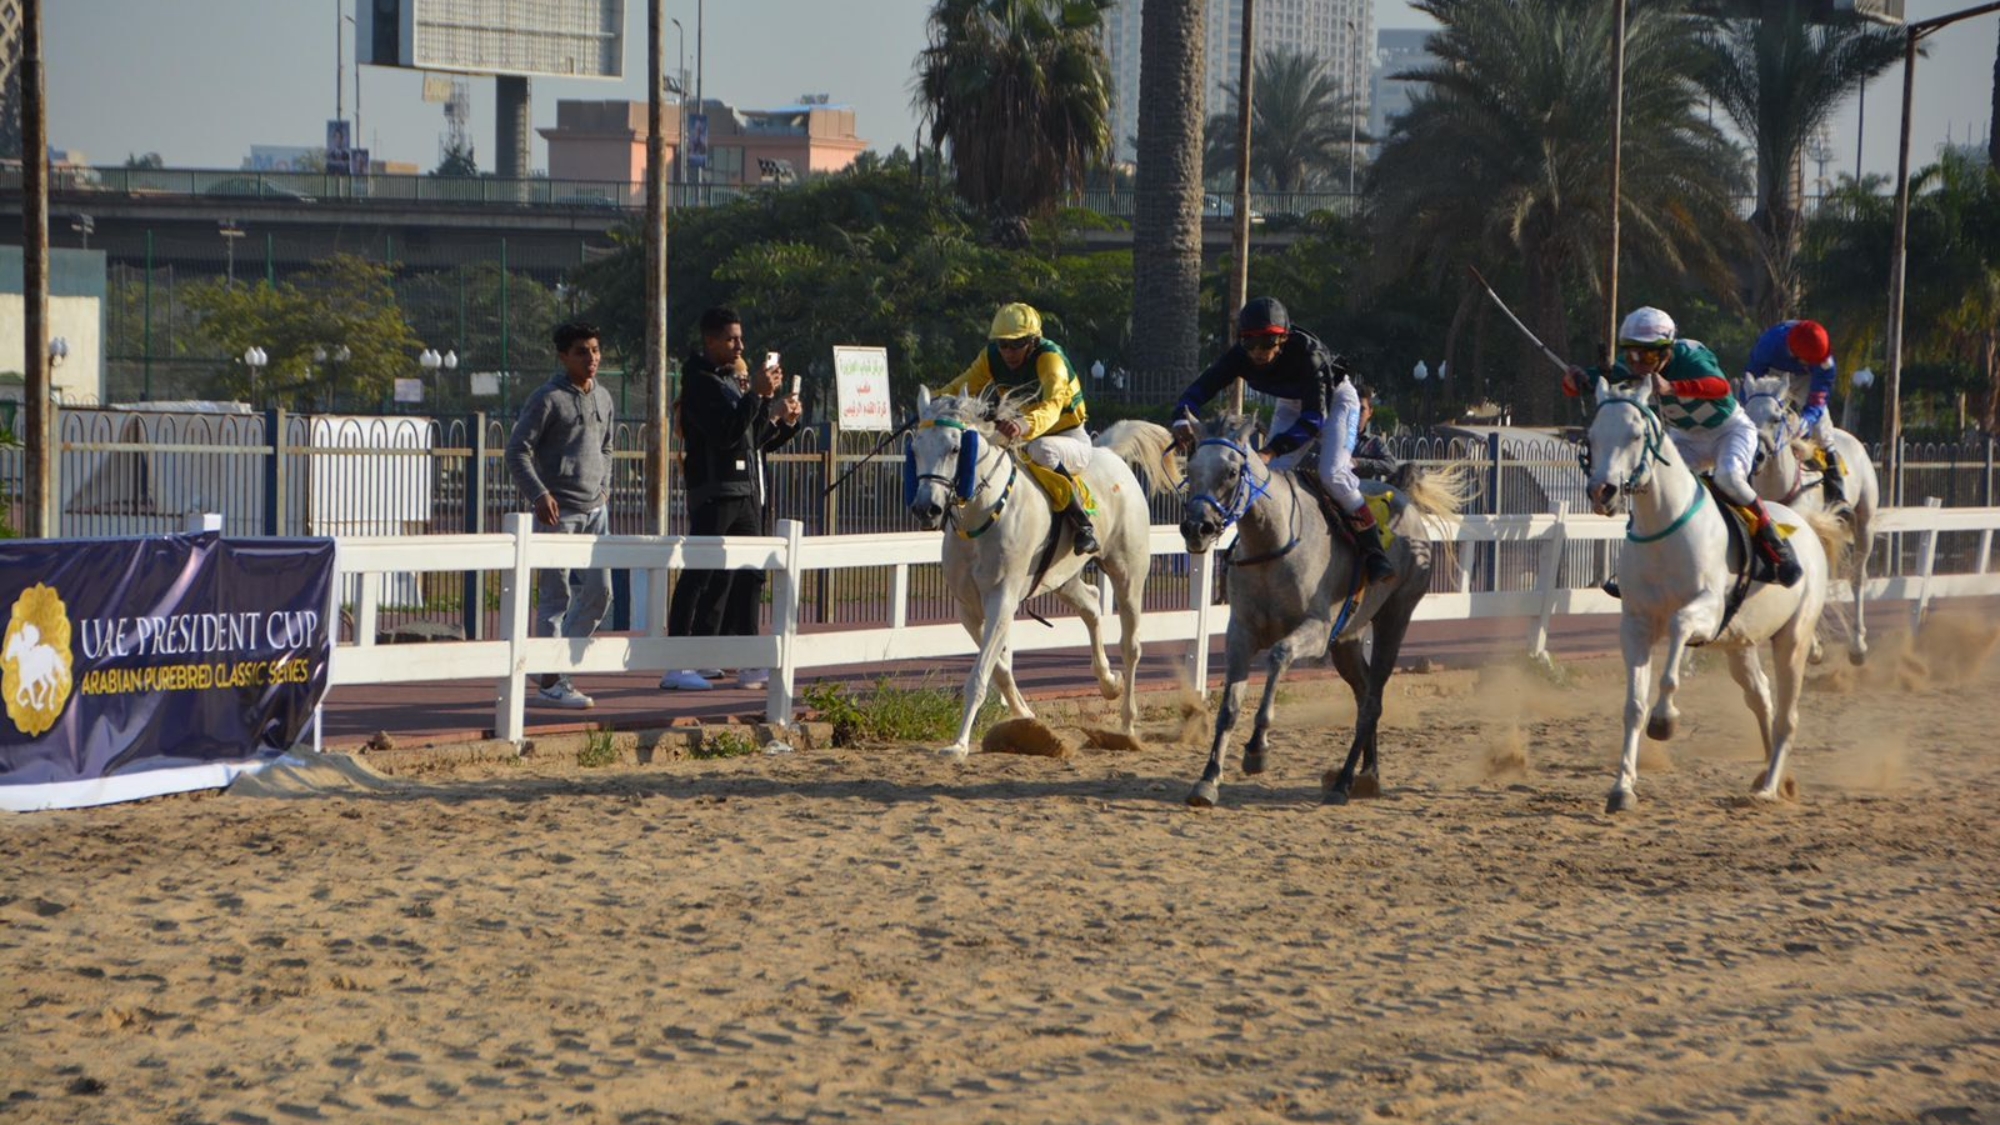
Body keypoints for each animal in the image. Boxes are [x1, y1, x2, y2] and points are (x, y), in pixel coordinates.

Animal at [904, 382, 1176, 752]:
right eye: (916, 447)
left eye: (955, 447)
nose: (926, 509)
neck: (985, 513)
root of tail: (1110, 455)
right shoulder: (968, 607)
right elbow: (999, 669)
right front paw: (1024, 716)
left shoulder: (1002, 598)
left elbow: (981, 673)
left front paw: (959, 744)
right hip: (1062, 578)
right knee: (1091, 604)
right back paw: (1108, 682)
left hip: (1128, 573)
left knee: (1131, 645)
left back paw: (1127, 723)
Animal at [1168, 412, 1472, 804]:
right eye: (1190, 467)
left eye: (1232, 472)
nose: (1197, 528)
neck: (1272, 542)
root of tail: (1404, 500)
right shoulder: (1241, 632)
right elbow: (1229, 707)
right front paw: (1208, 778)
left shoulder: (1318, 629)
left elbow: (1279, 656)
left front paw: (1257, 749)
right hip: (1348, 640)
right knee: (1363, 693)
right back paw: (1368, 774)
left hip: (1395, 616)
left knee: (1373, 700)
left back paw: (1343, 781)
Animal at [1584, 376, 1848, 804]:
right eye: (1592, 435)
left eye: (1636, 434)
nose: (1601, 492)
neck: (1665, 529)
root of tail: (1806, 526)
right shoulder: (1636, 624)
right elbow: (1634, 705)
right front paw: (1623, 786)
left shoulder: (1705, 614)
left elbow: (1676, 640)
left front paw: (1665, 719)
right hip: (1741, 645)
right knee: (1761, 698)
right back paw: (1767, 775)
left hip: (1793, 638)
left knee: (1788, 715)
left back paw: (1770, 787)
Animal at [1736, 372, 1872, 660]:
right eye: (1748, 416)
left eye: (1776, 418)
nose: (1757, 456)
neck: (1782, 485)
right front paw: (1815, 646)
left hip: (1864, 523)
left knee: (1857, 578)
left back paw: (1857, 644)